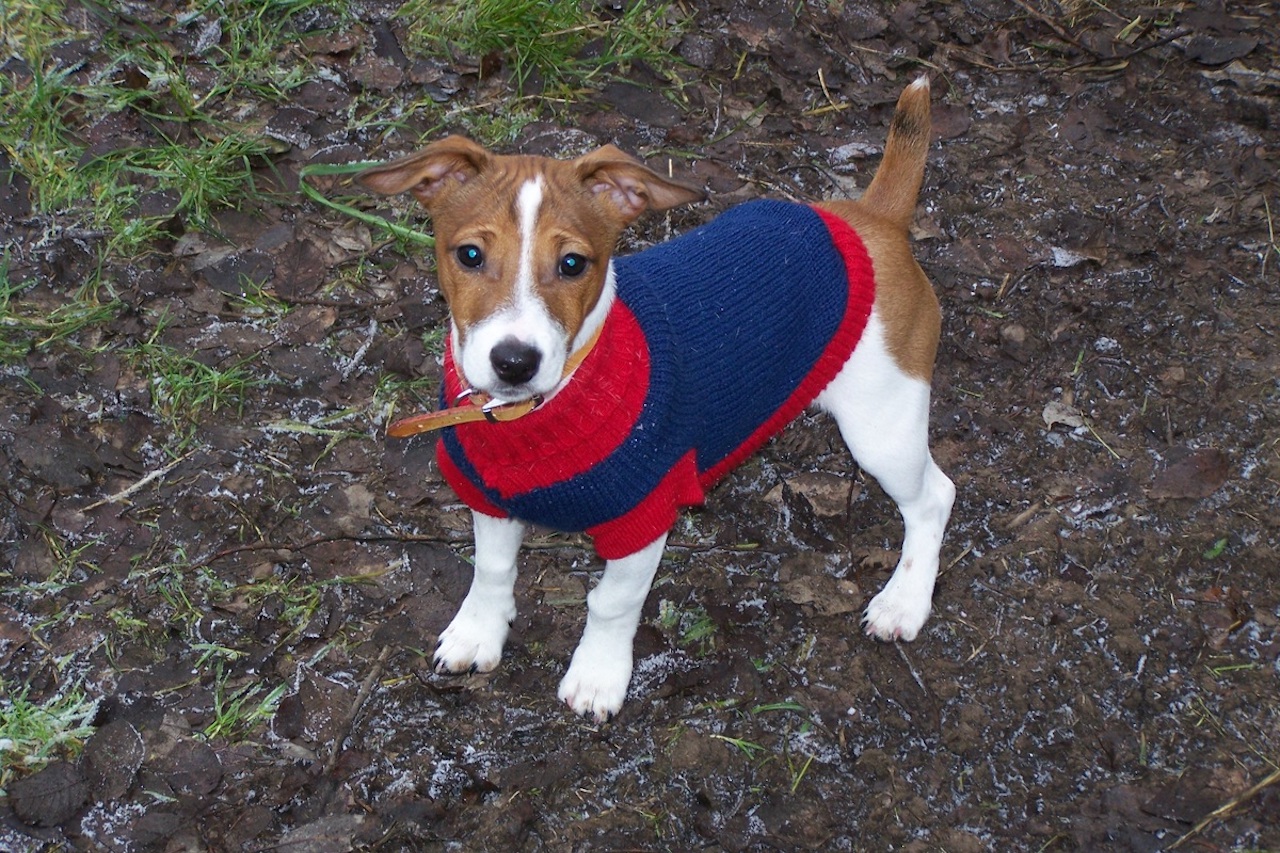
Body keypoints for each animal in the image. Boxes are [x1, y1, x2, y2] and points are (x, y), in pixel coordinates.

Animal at [355, 78, 957, 717]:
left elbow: (611, 602)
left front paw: (597, 674)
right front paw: (478, 631)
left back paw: (904, 600)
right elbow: (492, 568)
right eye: (469, 255)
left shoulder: (642, 518)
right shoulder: (489, 495)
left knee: (933, 498)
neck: (545, 407)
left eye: (573, 264)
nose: (514, 361)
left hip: (882, 425)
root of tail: (871, 219)